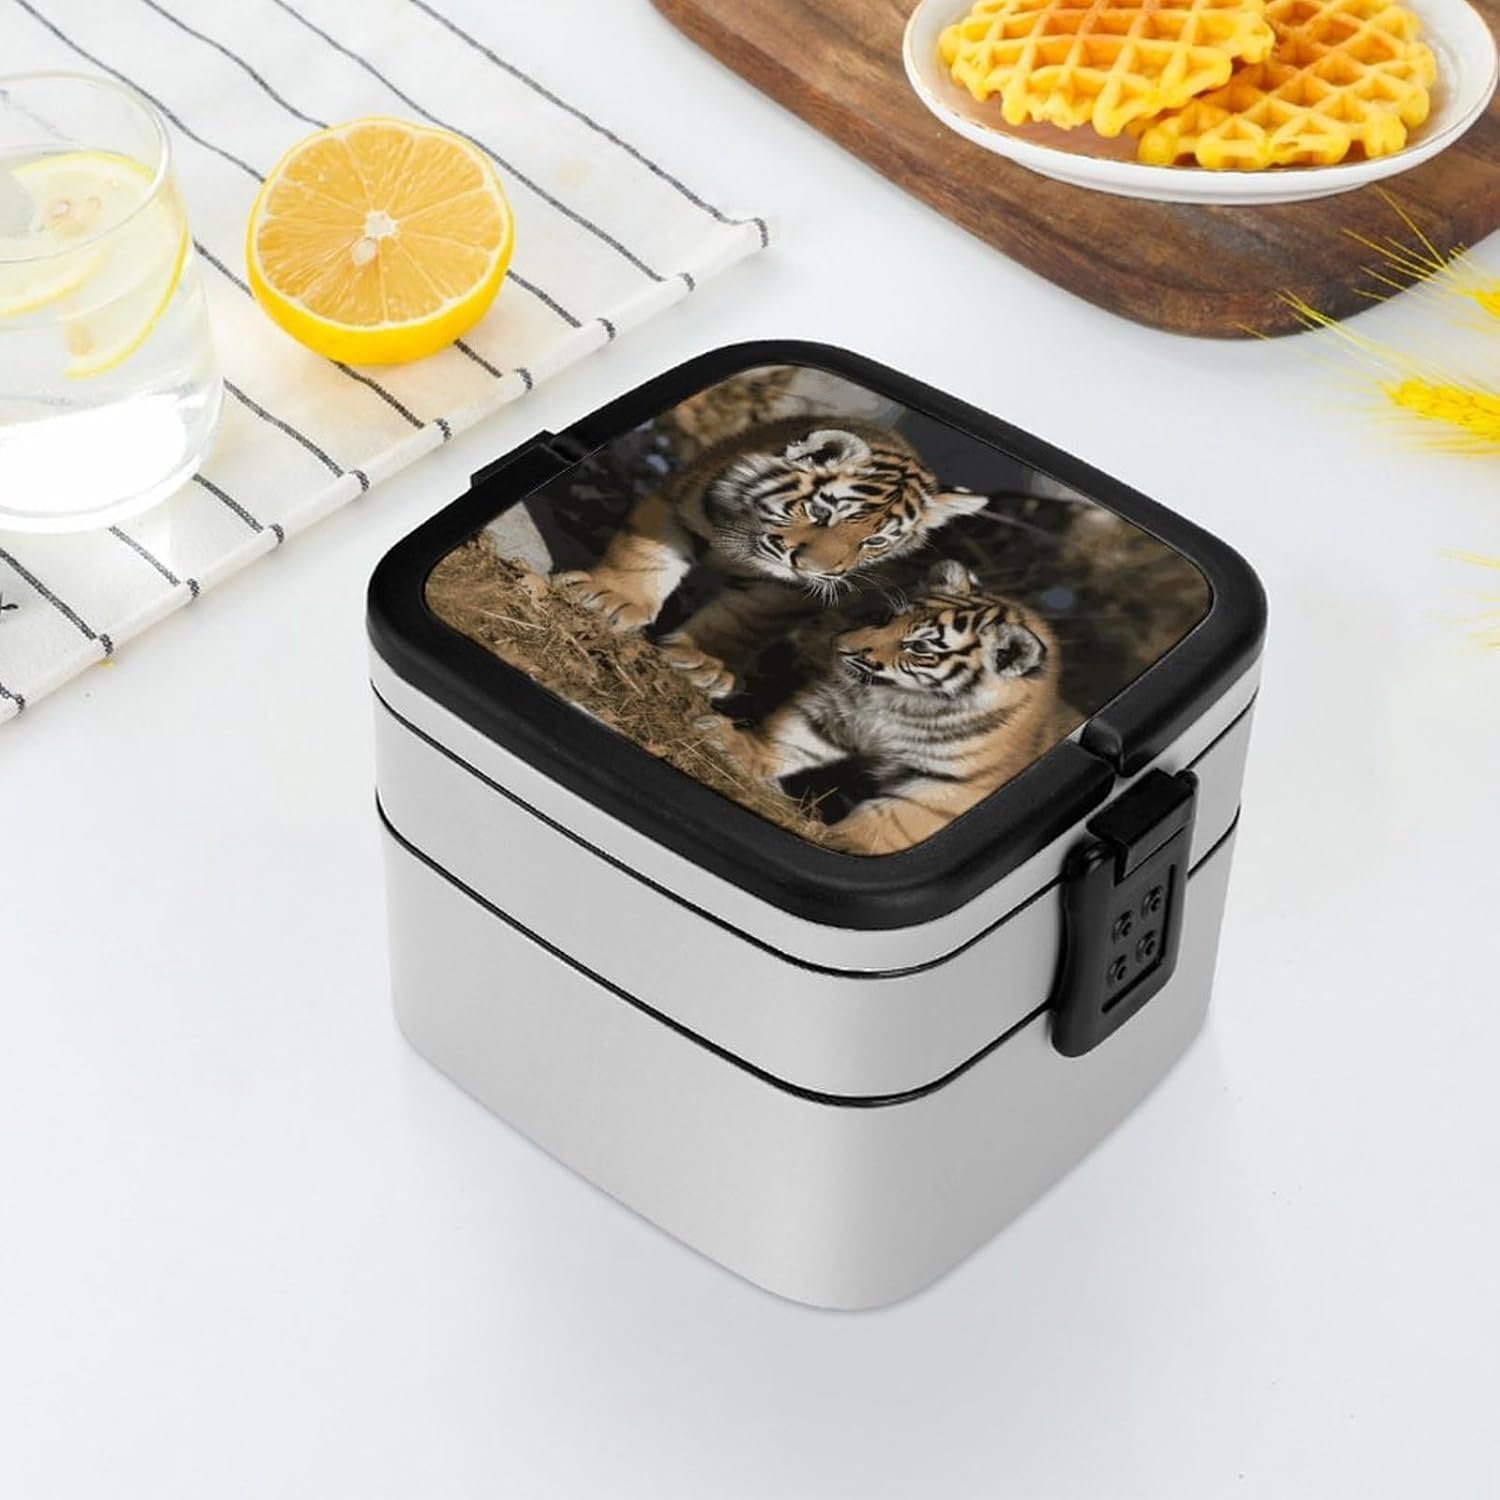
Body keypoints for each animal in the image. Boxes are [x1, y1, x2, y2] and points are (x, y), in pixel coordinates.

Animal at [555, 417, 988, 698]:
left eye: (875, 541)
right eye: (821, 513)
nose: (811, 569)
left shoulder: (789, 592)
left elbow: (741, 621)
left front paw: (705, 662)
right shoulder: (677, 504)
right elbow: (645, 556)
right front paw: (614, 598)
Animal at [702, 560, 1074, 856]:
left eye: (920, 647)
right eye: (887, 618)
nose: (838, 646)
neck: (903, 703)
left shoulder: (948, 784)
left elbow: (885, 820)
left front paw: (830, 839)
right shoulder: (834, 711)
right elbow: (785, 736)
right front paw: (731, 742)